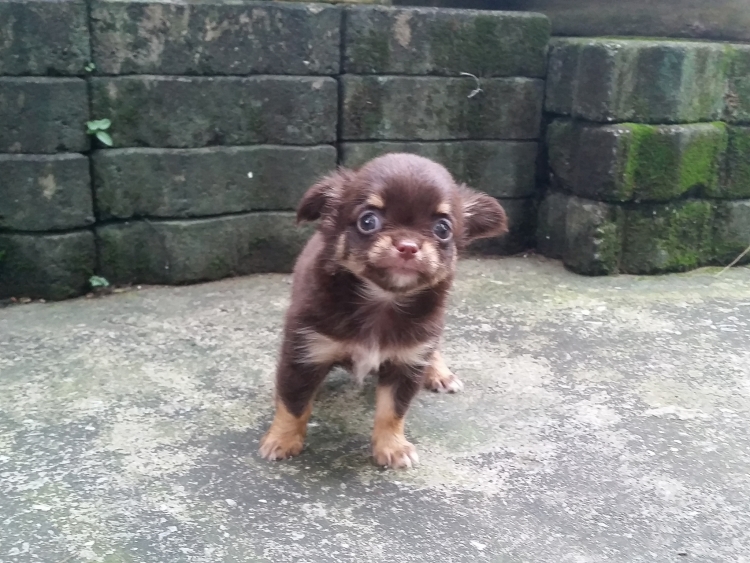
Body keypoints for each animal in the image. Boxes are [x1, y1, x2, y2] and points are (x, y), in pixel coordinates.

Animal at [259, 153, 508, 469]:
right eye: (368, 221)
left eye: (443, 229)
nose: (408, 246)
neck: (382, 300)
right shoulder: (304, 352)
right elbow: (293, 403)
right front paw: (281, 440)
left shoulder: (408, 360)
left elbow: (392, 411)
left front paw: (392, 447)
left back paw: (439, 372)